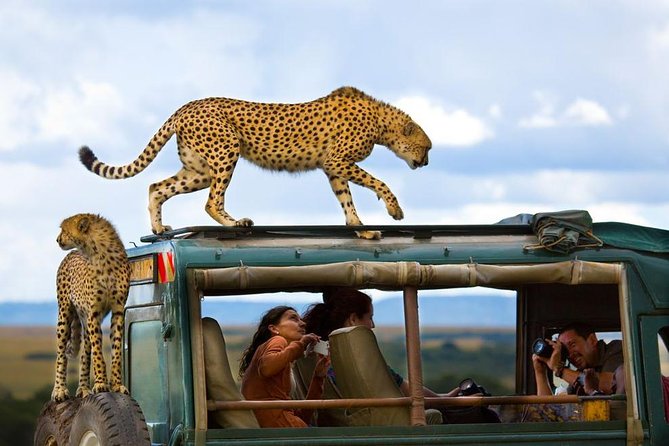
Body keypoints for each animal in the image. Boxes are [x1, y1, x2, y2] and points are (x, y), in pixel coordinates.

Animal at [51, 214, 130, 402]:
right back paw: (60, 390)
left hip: (85, 321)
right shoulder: (94, 313)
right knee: (61, 354)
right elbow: (98, 353)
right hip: (64, 315)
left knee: (85, 353)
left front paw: (116, 384)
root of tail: (71, 254)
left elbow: (116, 351)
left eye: (64, 230)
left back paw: (83, 389)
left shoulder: (117, 310)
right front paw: (101, 383)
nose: (57, 239)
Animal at [79, 87, 434, 240]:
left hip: (198, 170)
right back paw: (235, 223)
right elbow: (378, 182)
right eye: (426, 146)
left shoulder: (333, 168)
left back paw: (158, 228)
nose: (427, 162)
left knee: (157, 186)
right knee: (211, 201)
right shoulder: (337, 161)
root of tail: (189, 104)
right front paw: (394, 210)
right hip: (226, 151)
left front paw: (361, 229)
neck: (381, 122)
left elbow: (346, 200)